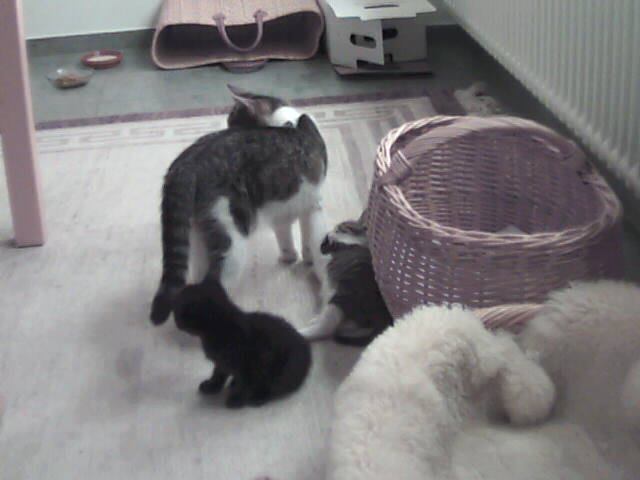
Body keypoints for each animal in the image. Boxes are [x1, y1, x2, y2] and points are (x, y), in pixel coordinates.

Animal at [150, 85, 328, 325]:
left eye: (233, 124)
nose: (225, 129)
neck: (288, 122)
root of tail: (184, 166)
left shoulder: (282, 210)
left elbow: (285, 236)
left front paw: (289, 256)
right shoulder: (311, 202)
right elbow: (309, 236)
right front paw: (308, 258)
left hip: (198, 237)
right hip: (231, 238)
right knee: (213, 285)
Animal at [173, 280, 312, 408]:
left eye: (178, 310)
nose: (176, 322)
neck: (220, 326)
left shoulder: (249, 365)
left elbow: (245, 384)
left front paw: (237, 398)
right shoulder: (221, 363)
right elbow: (218, 374)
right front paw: (212, 386)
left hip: (281, 371)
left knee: (273, 387)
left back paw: (258, 397)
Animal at [299, 218, 393, 346]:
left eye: (342, 226)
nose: (335, 229)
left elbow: (324, 248)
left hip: (341, 297)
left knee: (327, 327)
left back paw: (302, 331)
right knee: (350, 325)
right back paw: (317, 319)